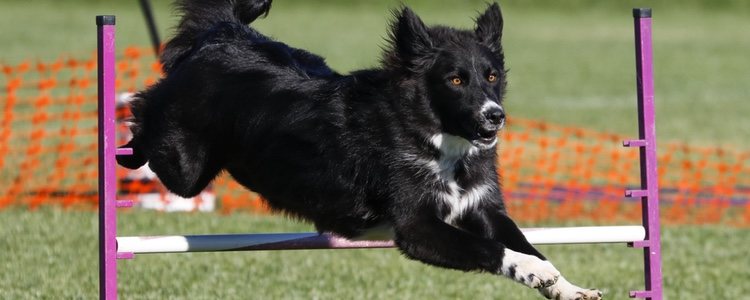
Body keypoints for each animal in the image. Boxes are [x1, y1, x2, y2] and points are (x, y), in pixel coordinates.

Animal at [117, 1, 604, 298]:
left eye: (490, 76)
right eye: (455, 79)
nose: (494, 116)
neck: (432, 137)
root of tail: (222, 33)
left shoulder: (482, 208)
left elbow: (525, 244)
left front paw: (565, 285)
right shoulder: (417, 228)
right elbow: (494, 250)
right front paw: (539, 273)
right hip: (184, 167)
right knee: (145, 111)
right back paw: (125, 139)